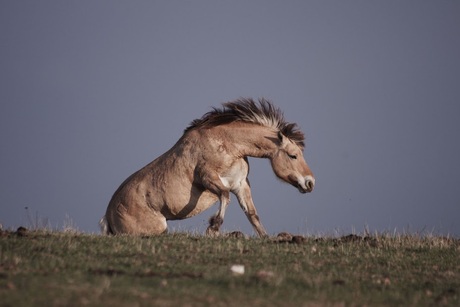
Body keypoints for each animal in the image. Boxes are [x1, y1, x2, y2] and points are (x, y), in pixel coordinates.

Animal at [100, 97, 314, 237]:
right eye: (293, 155)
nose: (310, 183)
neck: (227, 143)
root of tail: (108, 216)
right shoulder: (208, 178)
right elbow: (225, 196)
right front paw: (213, 227)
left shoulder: (241, 184)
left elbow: (252, 214)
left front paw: (266, 238)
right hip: (158, 227)